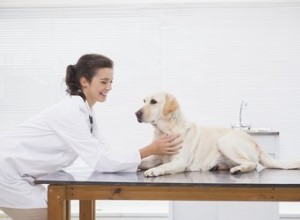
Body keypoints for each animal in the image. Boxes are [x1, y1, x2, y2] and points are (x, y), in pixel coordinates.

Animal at [136, 91, 300, 177]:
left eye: (153, 101)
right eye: (143, 100)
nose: (136, 113)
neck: (165, 130)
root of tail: (257, 144)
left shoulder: (180, 162)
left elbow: (164, 166)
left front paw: (153, 170)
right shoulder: (156, 157)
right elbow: (143, 161)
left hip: (224, 142)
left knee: (252, 164)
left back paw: (238, 169)